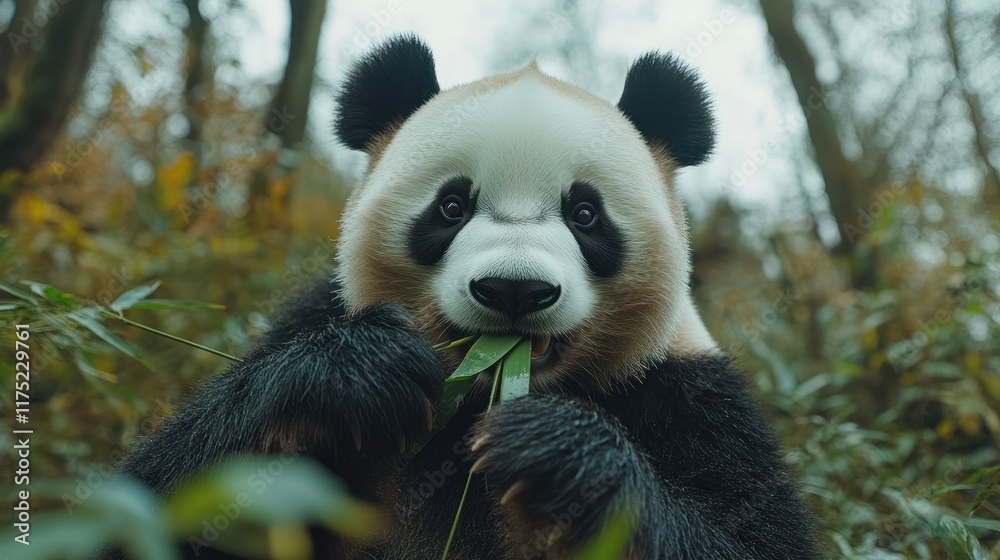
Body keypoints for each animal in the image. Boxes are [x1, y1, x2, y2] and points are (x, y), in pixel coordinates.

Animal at [111, 35, 817, 559]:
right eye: (451, 206)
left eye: (586, 215)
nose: (514, 289)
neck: (480, 391)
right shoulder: (318, 316)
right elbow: (156, 499)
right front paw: (360, 372)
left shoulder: (685, 393)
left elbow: (751, 535)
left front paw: (558, 448)